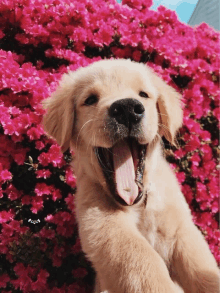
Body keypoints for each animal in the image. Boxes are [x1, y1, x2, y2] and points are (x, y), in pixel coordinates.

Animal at [42, 58, 219, 290]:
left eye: (143, 94)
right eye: (90, 99)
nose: (127, 109)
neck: (139, 204)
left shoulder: (182, 230)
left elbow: (202, 269)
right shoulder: (103, 226)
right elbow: (142, 260)